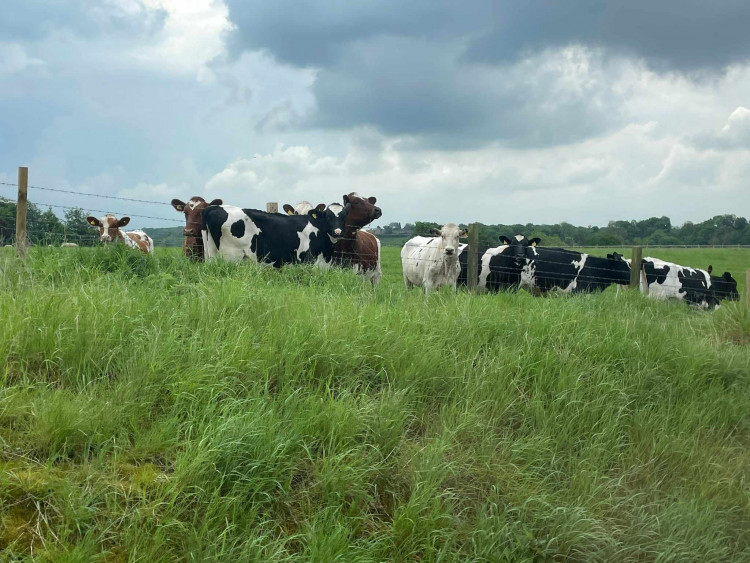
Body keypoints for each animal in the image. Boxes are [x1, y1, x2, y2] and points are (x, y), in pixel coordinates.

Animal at [201, 203, 352, 266]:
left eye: (344, 217)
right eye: (328, 217)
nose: (337, 232)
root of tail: (214, 207)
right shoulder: (307, 262)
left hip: (212, 253)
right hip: (231, 256)